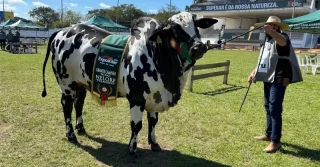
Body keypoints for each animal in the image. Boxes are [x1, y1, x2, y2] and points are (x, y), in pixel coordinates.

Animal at [41, 11, 218, 155]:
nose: (198, 47)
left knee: (79, 104)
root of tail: (63, 31)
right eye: (175, 29)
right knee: (67, 106)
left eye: (197, 26)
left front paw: (154, 143)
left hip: (81, 83)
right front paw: (132, 148)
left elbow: (153, 122)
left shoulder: (155, 97)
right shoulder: (136, 98)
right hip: (66, 84)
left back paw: (81, 129)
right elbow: (136, 124)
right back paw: (70, 134)